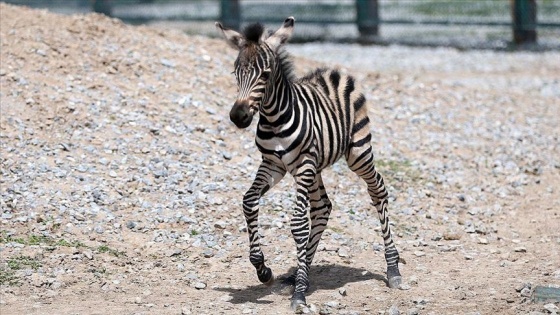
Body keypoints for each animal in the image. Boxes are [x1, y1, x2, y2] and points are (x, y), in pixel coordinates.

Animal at [217, 17, 404, 312]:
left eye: (265, 75)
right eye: (236, 72)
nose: (238, 116)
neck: (274, 119)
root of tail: (333, 72)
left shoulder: (302, 164)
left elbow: (297, 224)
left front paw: (299, 294)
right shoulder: (273, 165)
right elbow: (248, 201)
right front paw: (263, 269)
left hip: (357, 152)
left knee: (378, 191)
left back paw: (393, 269)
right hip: (313, 167)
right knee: (322, 207)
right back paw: (298, 272)